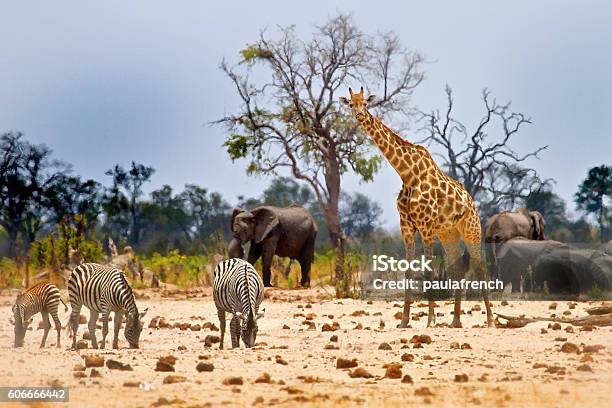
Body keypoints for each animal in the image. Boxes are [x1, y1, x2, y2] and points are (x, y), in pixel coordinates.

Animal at [342, 87, 494, 328]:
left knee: (480, 267)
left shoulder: (426, 226)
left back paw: (490, 320)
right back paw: (455, 321)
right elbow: (408, 273)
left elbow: (429, 272)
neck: (407, 174)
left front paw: (430, 319)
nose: (359, 115)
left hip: (472, 229)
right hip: (449, 233)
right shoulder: (406, 226)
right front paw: (404, 321)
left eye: (365, 103)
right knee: (458, 268)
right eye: (350, 103)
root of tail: (471, 202)